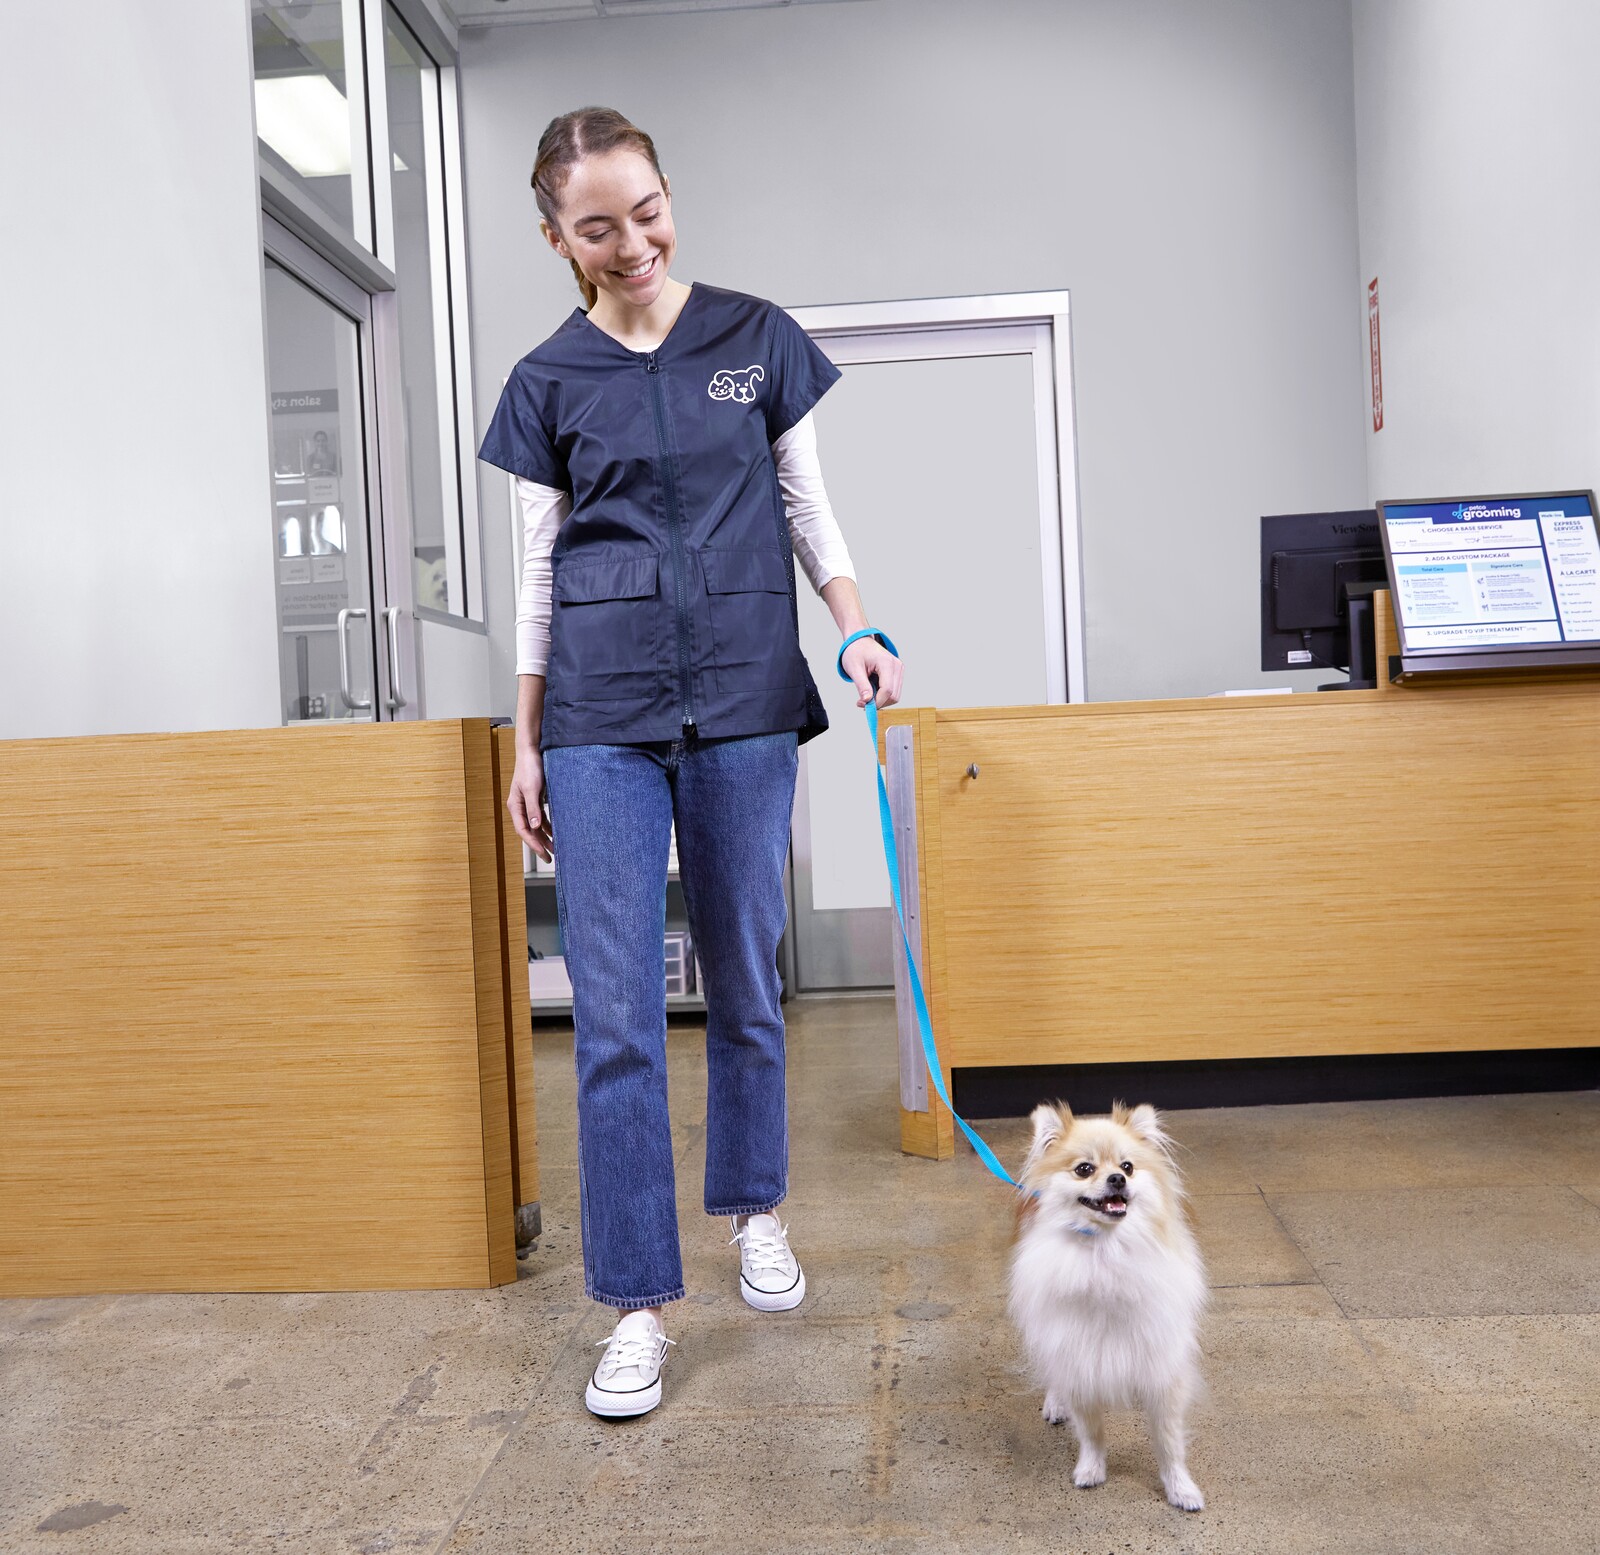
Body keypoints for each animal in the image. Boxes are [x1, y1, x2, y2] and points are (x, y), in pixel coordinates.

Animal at [1004, 1100, 1203, 1510]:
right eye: (1084, 1169)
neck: (1106, 1254)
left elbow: (1169, 1440)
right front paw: (1091, 1470)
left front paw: (1181, 1489)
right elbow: (1091, 1431)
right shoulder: (1080, 1356)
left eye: (1127, 1167)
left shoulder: (1161, 1365)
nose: (1117, 1180)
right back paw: (1056, 1402)